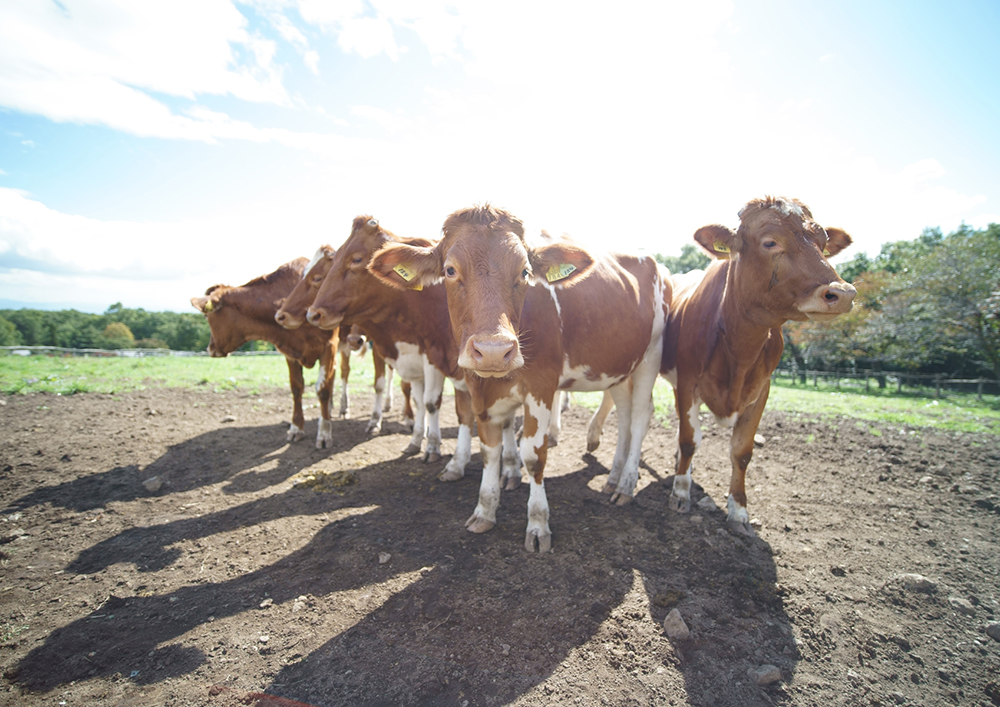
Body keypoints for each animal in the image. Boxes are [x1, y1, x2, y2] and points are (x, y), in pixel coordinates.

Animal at [191, 258, 348, 448]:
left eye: (206, 317)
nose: (210, 348)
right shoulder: (290, 354)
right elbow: (296, 388)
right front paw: (296, 428)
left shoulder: (329, 346)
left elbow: (323, 389)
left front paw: (324, 433)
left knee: (344, 374)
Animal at [304, 217, 492, 482]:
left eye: (357, 259)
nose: (313, 314)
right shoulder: (426, 358)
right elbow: (421, 400)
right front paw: (417, 441)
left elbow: (432, 402)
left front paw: (432, 447)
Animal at [364, 205, 668, 552]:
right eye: (450, 270)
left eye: (524, 272)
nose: (494, 351)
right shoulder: (481, 393)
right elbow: (489, 451)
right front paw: (484, 510)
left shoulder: (540, 388)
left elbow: (533, 456)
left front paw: (537, 523)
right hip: (618, 366)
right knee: (625, 415)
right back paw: (614, 477)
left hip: (651, 356)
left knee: (641, 417)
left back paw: (627, 485)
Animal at [660, 195, 856, 536]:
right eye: (770, 242)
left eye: (823, 243)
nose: (842, 293)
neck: (738, 347)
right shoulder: (687, 384)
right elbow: (688, 440)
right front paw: (681, 492)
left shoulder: (761, 391)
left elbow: (742, 452)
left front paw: (739, 510)